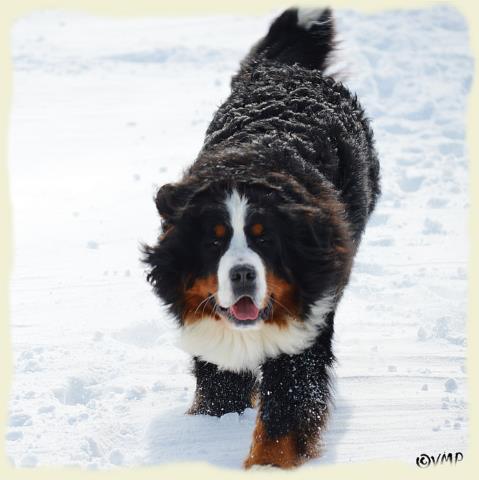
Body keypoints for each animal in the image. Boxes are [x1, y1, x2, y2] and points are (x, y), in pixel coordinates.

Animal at [144, 5, 380, 470]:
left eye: (265, 239)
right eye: (214, 240)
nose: (241, 275)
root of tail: (285, 70)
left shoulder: (304, 328)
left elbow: (284, 413)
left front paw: (267, 466)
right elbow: (220, 389)